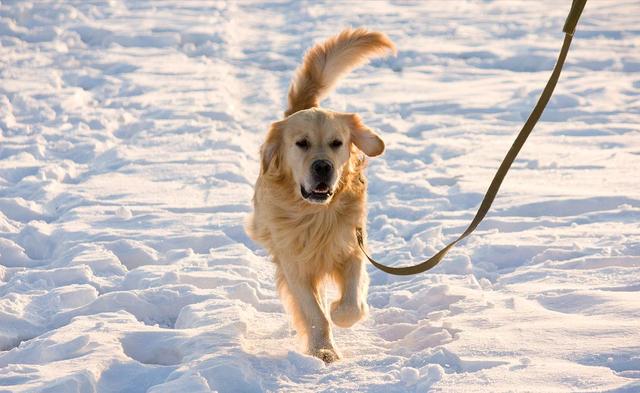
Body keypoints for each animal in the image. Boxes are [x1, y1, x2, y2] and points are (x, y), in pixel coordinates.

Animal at [246, 29, 392, 362]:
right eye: (301, 143)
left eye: (337, 143)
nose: (323, 166)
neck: (316, 215)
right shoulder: (293, 264)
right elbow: (314, 314)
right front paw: (323, 351)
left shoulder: (352, 247)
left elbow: (351, 304)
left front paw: (340, 312)